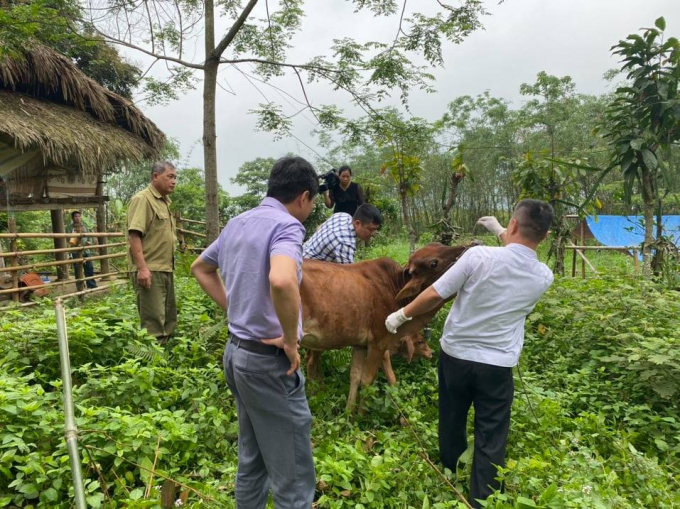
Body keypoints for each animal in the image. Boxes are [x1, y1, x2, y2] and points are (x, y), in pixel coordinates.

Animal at [300, 242, 476, 408]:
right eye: (434, 263)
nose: (473, 245)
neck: (394, 288)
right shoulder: (379, 342)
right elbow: (367, 381)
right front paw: (361, 414)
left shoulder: (360, 345)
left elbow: (355, 378)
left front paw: (349, 412)